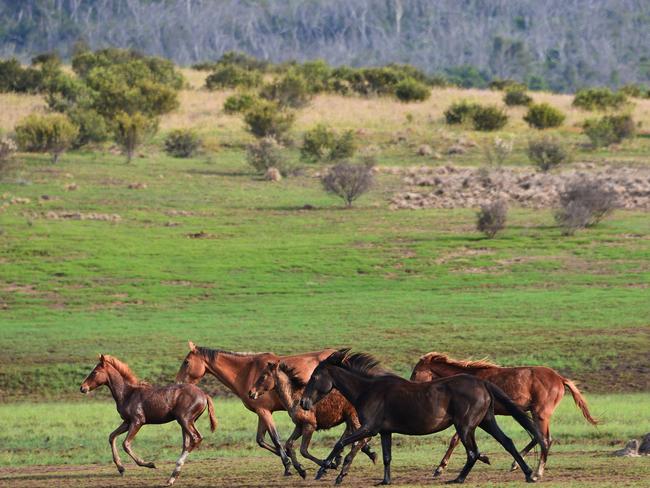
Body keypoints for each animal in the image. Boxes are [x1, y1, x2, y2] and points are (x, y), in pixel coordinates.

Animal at [79, 352, 216, 486]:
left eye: (94, 372)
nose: (82, 388)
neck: (128, 393)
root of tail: (204, 394)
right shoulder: (127, 422)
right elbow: (112, 436)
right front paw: (121, 468)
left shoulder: (138, 421)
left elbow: (126, 444)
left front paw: (150, 464)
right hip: (188, 422)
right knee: (187, 443)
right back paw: (172, 477)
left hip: (184, 419)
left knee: (196, 438)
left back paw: (172, 476)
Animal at [173, 342, 334, 474]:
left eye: (186, 362)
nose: (177, 383)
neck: (247, 372)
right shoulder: (261, 412)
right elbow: (261, 440)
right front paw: (292, 459)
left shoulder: (264, 411)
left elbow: (275, 438)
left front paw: (288, 465)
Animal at [302, 350, 544, 484]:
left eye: (314, 377)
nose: (303, 403)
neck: (368, 390)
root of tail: (483, 383)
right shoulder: (384, 431)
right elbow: (387, 456)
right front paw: (385, 481)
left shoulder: (369, 427)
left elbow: (340, 443)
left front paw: (328, 468)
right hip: (486, 421)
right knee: (507, 442)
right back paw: (529, 474)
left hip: (465, 426)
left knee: (473, 452)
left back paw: (458, 478)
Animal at [408, 352, 596, 478]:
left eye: (416, 371)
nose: (411, 386)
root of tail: (560, 379)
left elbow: (455, 439)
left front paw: (439, 468)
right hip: (536, 412)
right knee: (539, 436)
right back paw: (515, 464)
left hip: (541, 412)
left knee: (545, 439)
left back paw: (536, 472)